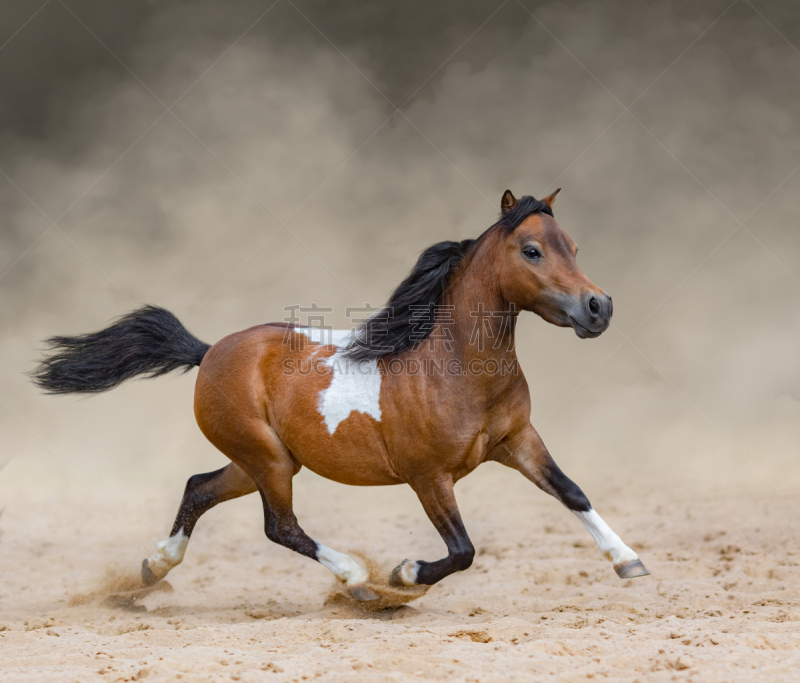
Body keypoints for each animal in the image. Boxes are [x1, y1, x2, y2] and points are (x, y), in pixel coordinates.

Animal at [36, 190, 648, 600]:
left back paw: (151, 569)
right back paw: (358, 580)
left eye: (573, 246)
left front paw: (630, 561)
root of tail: (210, 352)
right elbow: (463, 550)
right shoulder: (428, 476)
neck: (453, 366)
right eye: (532, 250)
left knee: (199, 488)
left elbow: (572, 492)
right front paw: (404, 575)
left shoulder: (517, 440)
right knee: (280, 526)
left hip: (261, 461)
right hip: (268, 460)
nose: (599, 307)